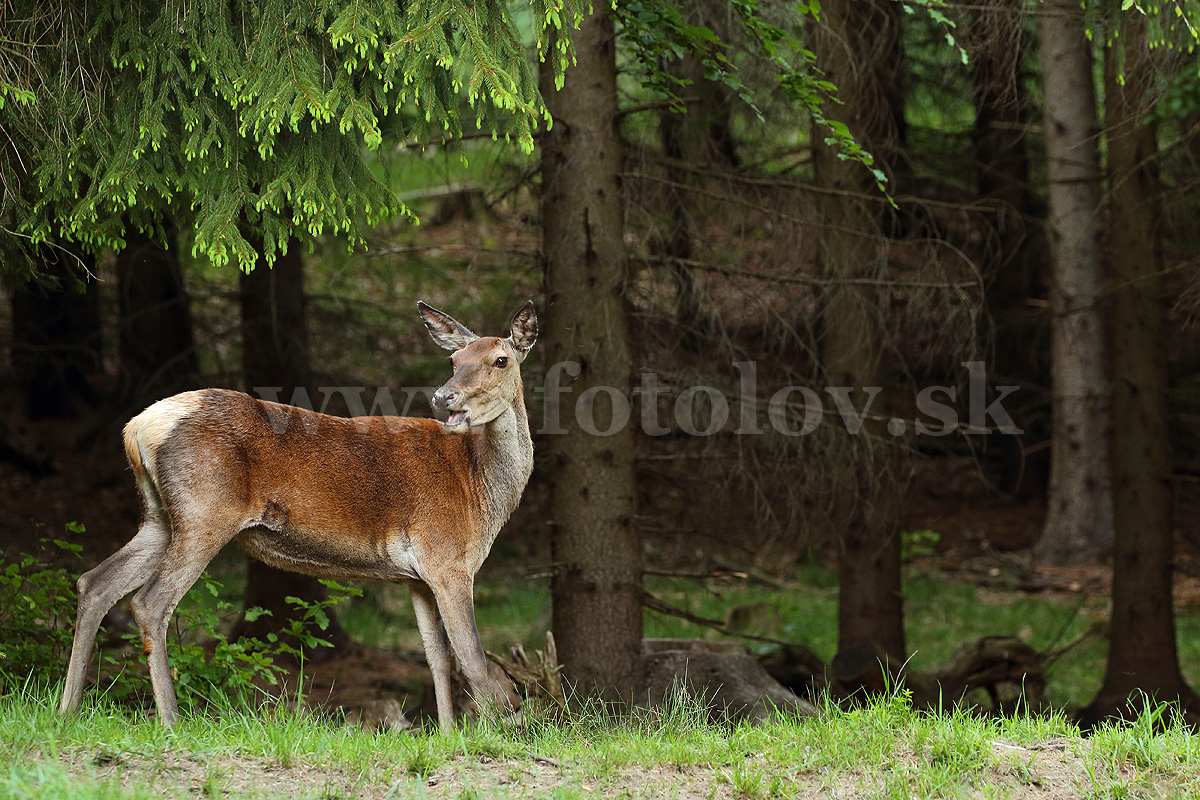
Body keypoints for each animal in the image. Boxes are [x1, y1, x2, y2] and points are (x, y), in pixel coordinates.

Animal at [58, 299, 537, 734]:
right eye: (454, 359)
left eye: (500, 359)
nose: (443, 396)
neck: (480, 491)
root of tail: (137, 427)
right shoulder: (449, 559)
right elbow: (473, 659)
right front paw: (492, 739)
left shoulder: (418, 576)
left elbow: (437, 658)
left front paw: (448, 735)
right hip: (204, 512)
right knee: (150, 601)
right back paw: (171, 721)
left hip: (159, 517)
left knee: (95, 582)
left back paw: (68, 710)